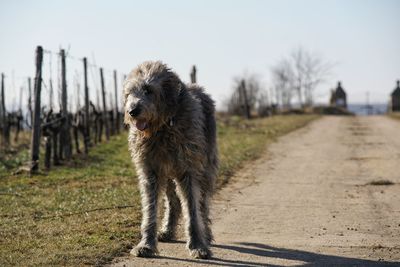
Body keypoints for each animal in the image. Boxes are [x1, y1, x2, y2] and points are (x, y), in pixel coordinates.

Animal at [125, 61, 219, 260]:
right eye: (129, 93)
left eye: (148, 90)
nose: (132, 111)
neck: (162, 128)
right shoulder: (150, 171)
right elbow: (150, 208)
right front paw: (146, 244)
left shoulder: (188, 169)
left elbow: (192, 209)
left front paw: (198, 245)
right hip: (168, 173)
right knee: (173, 202)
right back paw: (167, 230)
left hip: (206, 166)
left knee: (203, 202)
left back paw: (206, 233)